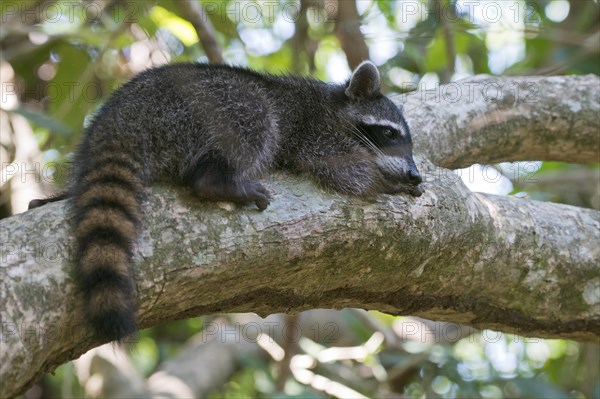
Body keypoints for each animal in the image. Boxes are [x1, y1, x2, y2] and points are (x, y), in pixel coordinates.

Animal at [28, 61, 422, 342]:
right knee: (256, 110)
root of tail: (122, 116)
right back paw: (217, 180)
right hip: (200, 105)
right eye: (389, 134)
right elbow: (337, 167)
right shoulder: (314, 130)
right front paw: (383, 184)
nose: (415, 175)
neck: (334, 107)